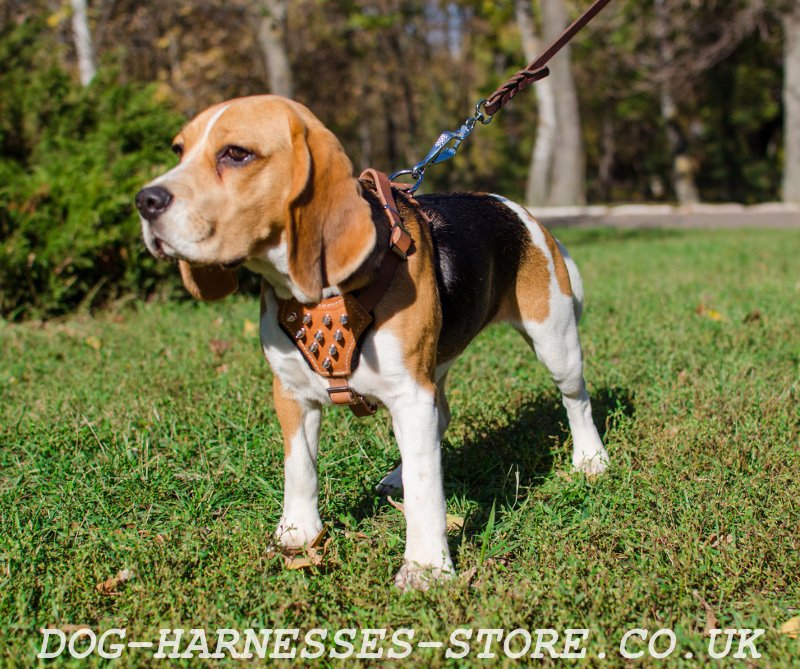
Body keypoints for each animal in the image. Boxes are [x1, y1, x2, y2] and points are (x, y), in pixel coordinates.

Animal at [138, 95, 608, 588]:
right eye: (178, 151)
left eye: (236, 154)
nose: (144, 201)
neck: (319, 295)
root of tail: (519, 210)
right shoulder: (292, 394)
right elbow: (299, 469)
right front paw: (298, 533)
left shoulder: (410, 394)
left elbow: (425, 490)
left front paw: (426, 568)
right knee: (440, 419)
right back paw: (396, 475)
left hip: (554, 342)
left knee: (576, 399)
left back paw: (590, 458)